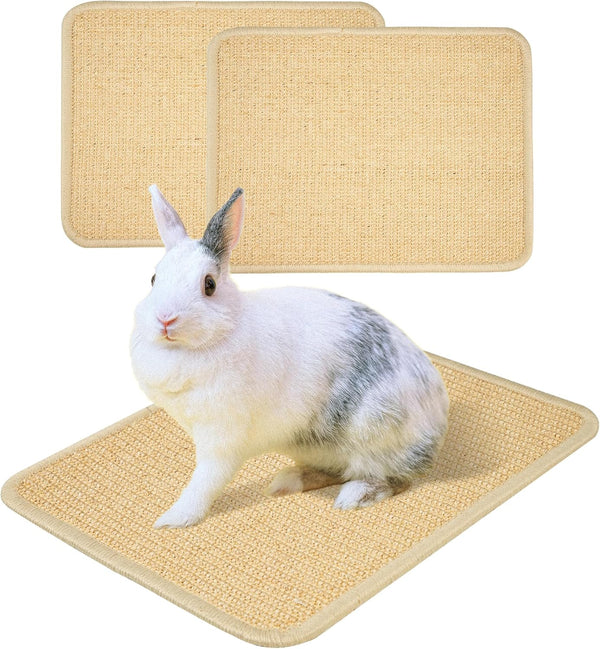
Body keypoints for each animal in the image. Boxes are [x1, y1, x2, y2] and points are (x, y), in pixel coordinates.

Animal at [130, 186, 449, 528]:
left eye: (209, 285)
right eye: (153, 279)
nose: (165, 319)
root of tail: (438, 418)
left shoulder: (222, 437)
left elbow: (206, 480)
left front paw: (173, 520)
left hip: (374, 435)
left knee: (397, 479)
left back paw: (353, 496)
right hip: (315, 445)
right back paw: (287, 481)